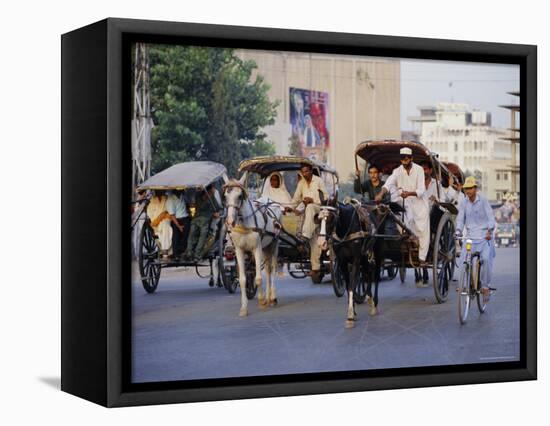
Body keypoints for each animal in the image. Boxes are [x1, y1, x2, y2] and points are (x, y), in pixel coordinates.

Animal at [225, 176, 284, 316]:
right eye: (225, 196)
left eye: (240, 196)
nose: (230, 221)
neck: (245, 223)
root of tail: (270, 201)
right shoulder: (239, 250)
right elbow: (242, 279)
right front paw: (244, 308)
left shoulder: (256, 248)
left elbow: (258, 278)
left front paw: (261, 301)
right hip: (265, 247)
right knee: (267, 269)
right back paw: (268, 298)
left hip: (274, 243)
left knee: (273, 268)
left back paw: (272, 298)